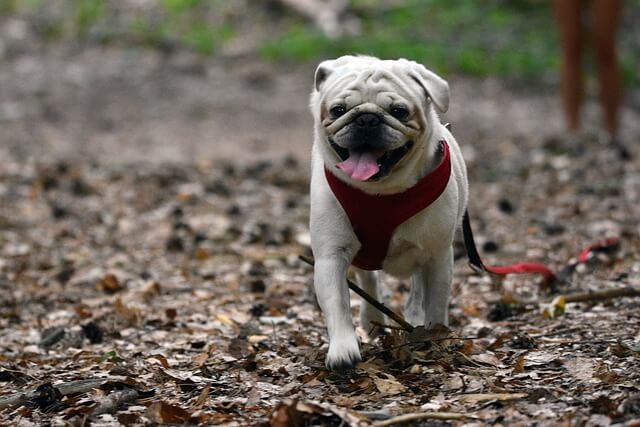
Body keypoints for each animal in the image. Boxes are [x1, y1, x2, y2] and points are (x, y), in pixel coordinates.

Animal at [308, 56, 468, 372]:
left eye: (399, 111)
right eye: (338, 110)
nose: (367, 119)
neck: (381, 193)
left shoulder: (438, 255)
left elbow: (436, 302)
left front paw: (436, 338)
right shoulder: (331, 255)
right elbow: (337, 303)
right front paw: (343, 349)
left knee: (418, 288)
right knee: (369, 279)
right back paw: (372, 318)